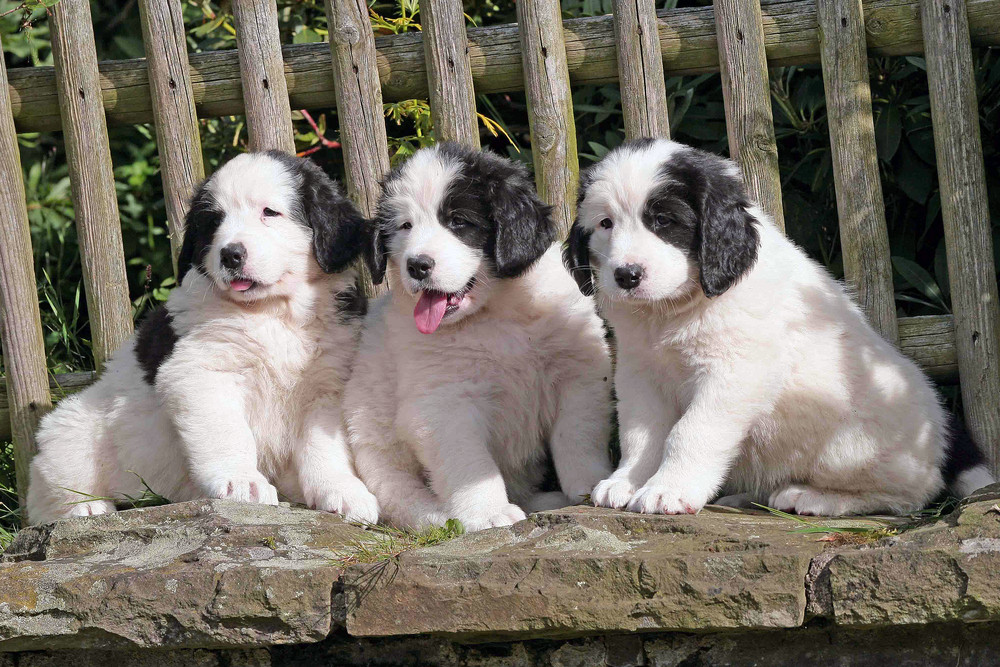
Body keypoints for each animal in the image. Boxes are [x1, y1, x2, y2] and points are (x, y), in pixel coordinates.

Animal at [28, 153, 378, 528]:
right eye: (214, 221)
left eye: (269, 212)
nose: (230, 254)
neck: (272, 313)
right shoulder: (203, 372)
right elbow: (228, 433)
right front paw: (242, 482)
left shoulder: (327, 385)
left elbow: (324, 447)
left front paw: (343, 491)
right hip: (70, 430)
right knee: (45, 491)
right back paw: (86, 508)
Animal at [344, 144, 612, 536]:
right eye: (405, 226)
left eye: (458, 222)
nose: (417, 265)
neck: (495, 312)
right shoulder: (444, 401)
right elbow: (469, 463)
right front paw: (488, 514)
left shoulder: (578, 375)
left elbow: (577, 436)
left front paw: (588, 488)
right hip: (369, 428)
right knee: (394, 489)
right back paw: (435, 515)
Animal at [568, 138, 996, 520]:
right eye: (605, 224)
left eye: (663, 221)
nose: (626, 275)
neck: (669, 312)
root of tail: (943, 432)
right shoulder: (640, 374)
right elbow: (641, 434)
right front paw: (627, 481)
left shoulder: (734, 372)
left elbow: (691, 431)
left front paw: (668, 489)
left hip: (848, 444)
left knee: (913, 492)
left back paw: (812, 498)